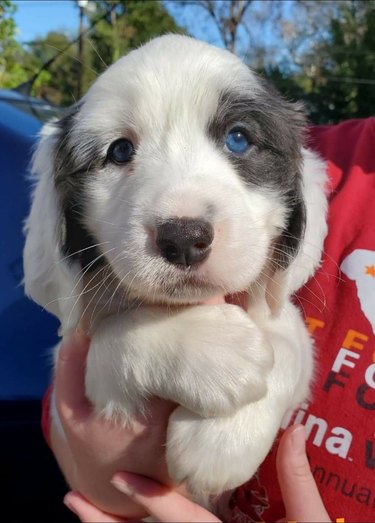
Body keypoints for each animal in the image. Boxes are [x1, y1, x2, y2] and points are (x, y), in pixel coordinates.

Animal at [24, 34, 328, 502]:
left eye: (238, 139)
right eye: (119, 150)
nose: (184, 237)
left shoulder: (284, 320)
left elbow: (289, 342)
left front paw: (223, 439)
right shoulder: (74, 380)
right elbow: (113, 338)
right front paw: (216, 348)